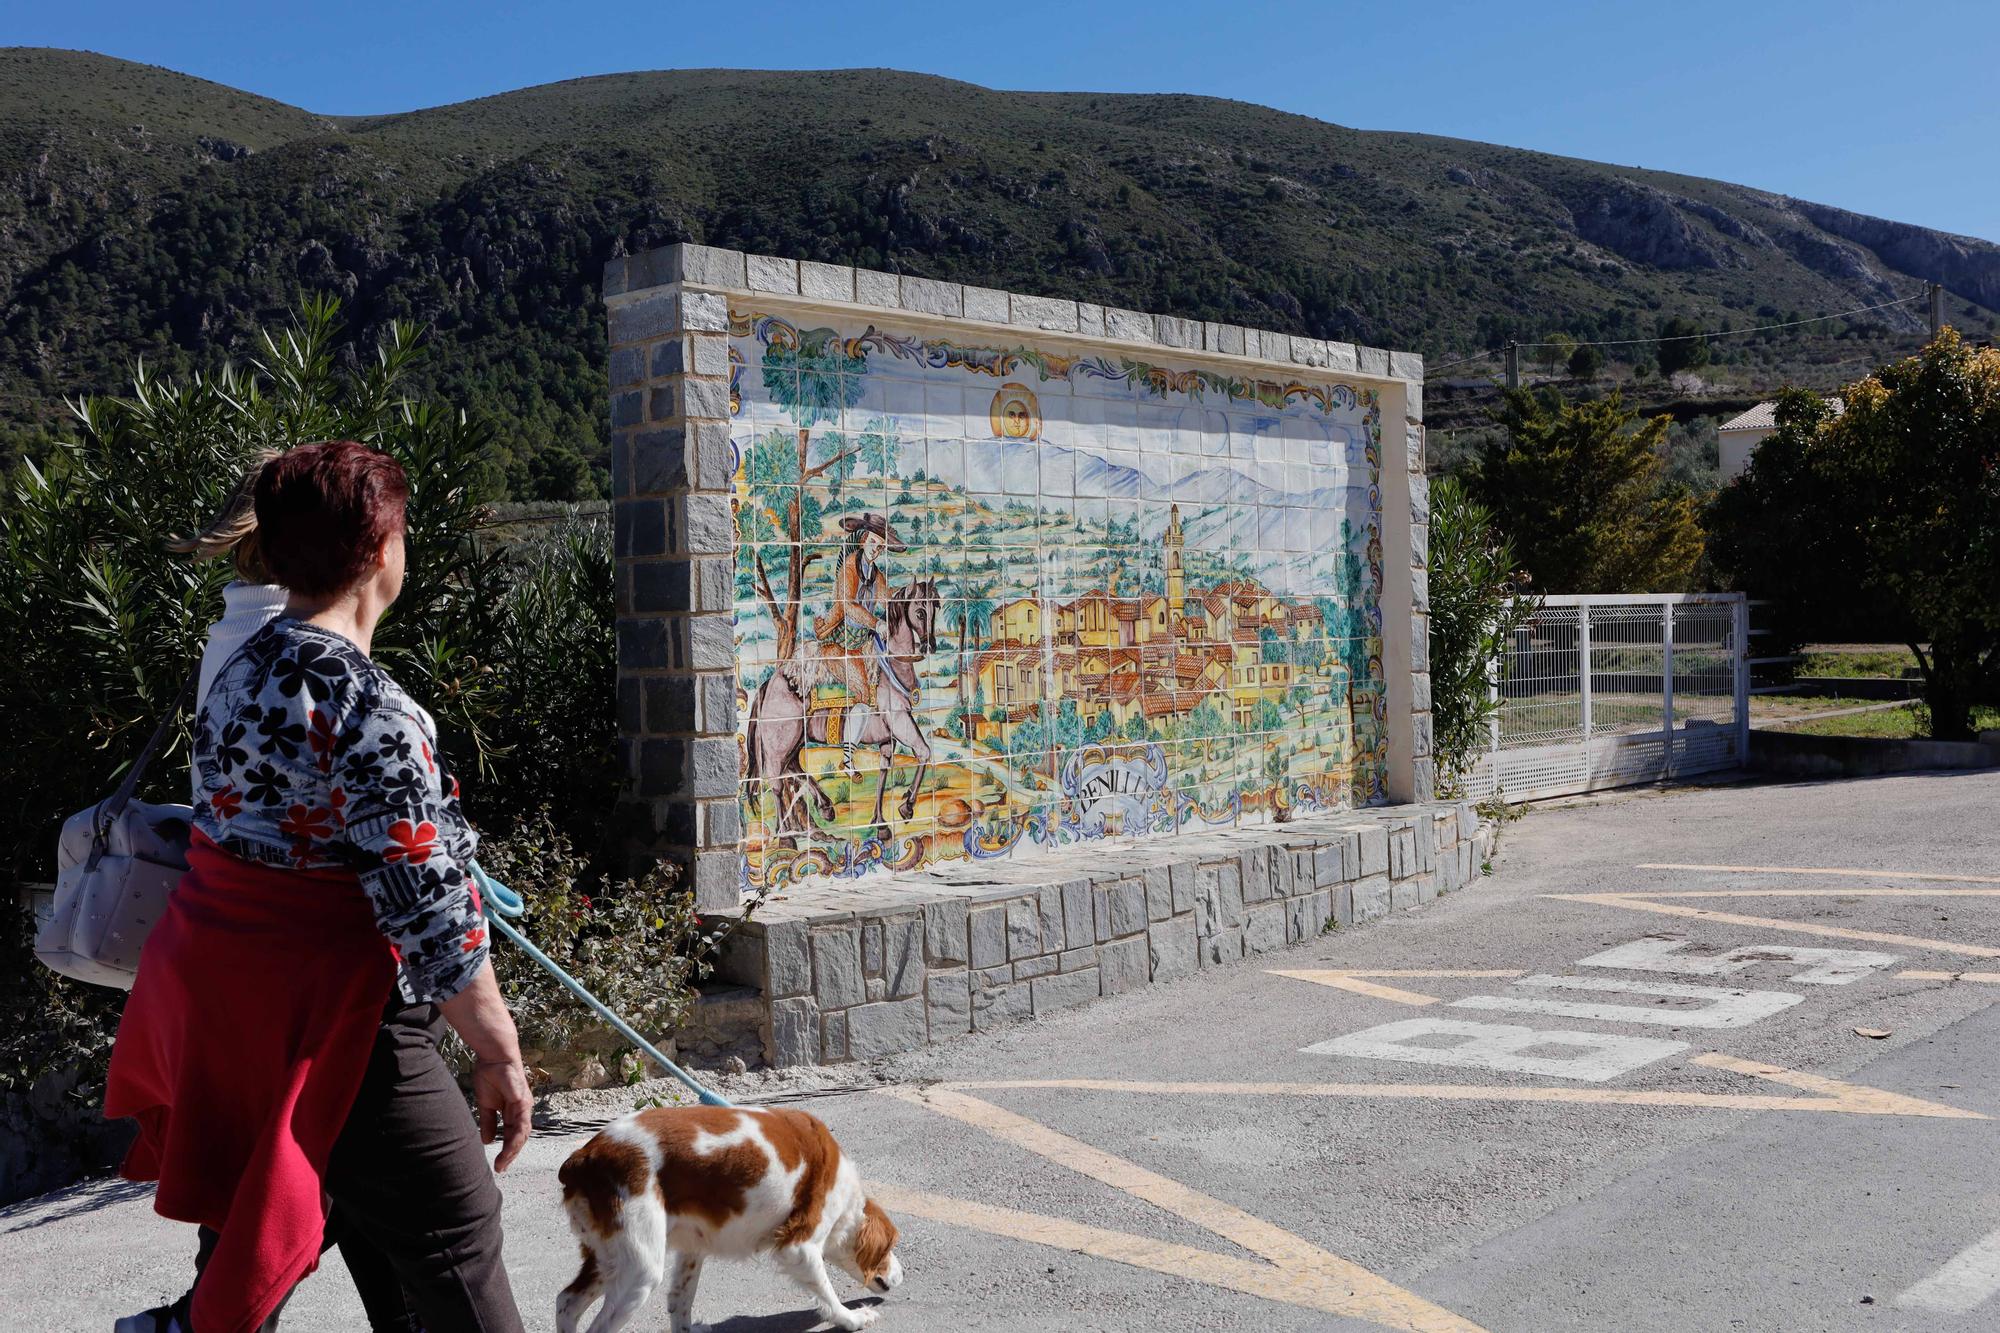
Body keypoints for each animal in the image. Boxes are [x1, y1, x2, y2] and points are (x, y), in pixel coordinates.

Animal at [564, 1096, 908, 1328]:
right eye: (891, 1247)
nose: (902, 1274)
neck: (847, 1195)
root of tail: (585, 1156)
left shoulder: (692, 1249)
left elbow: (680, 1301)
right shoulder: (799, 1247)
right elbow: (828, 1293)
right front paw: (853, 1318)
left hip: (607, 1258)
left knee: (565, 1302)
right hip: (640, 1268)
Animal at [748, 572, 940, 840]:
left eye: (936, 609)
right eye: (920, 612)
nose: (929, 646)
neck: (890, 669)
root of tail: (771, 683)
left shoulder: (887, 739)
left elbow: (883, 773)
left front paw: (880, 823)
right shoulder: (901, 722)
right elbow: (923, 752)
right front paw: (907, 806)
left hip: (795, 740)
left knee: (793, 768)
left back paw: (825, 806)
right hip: (780, 744)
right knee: (776, 780)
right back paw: (786, 834)